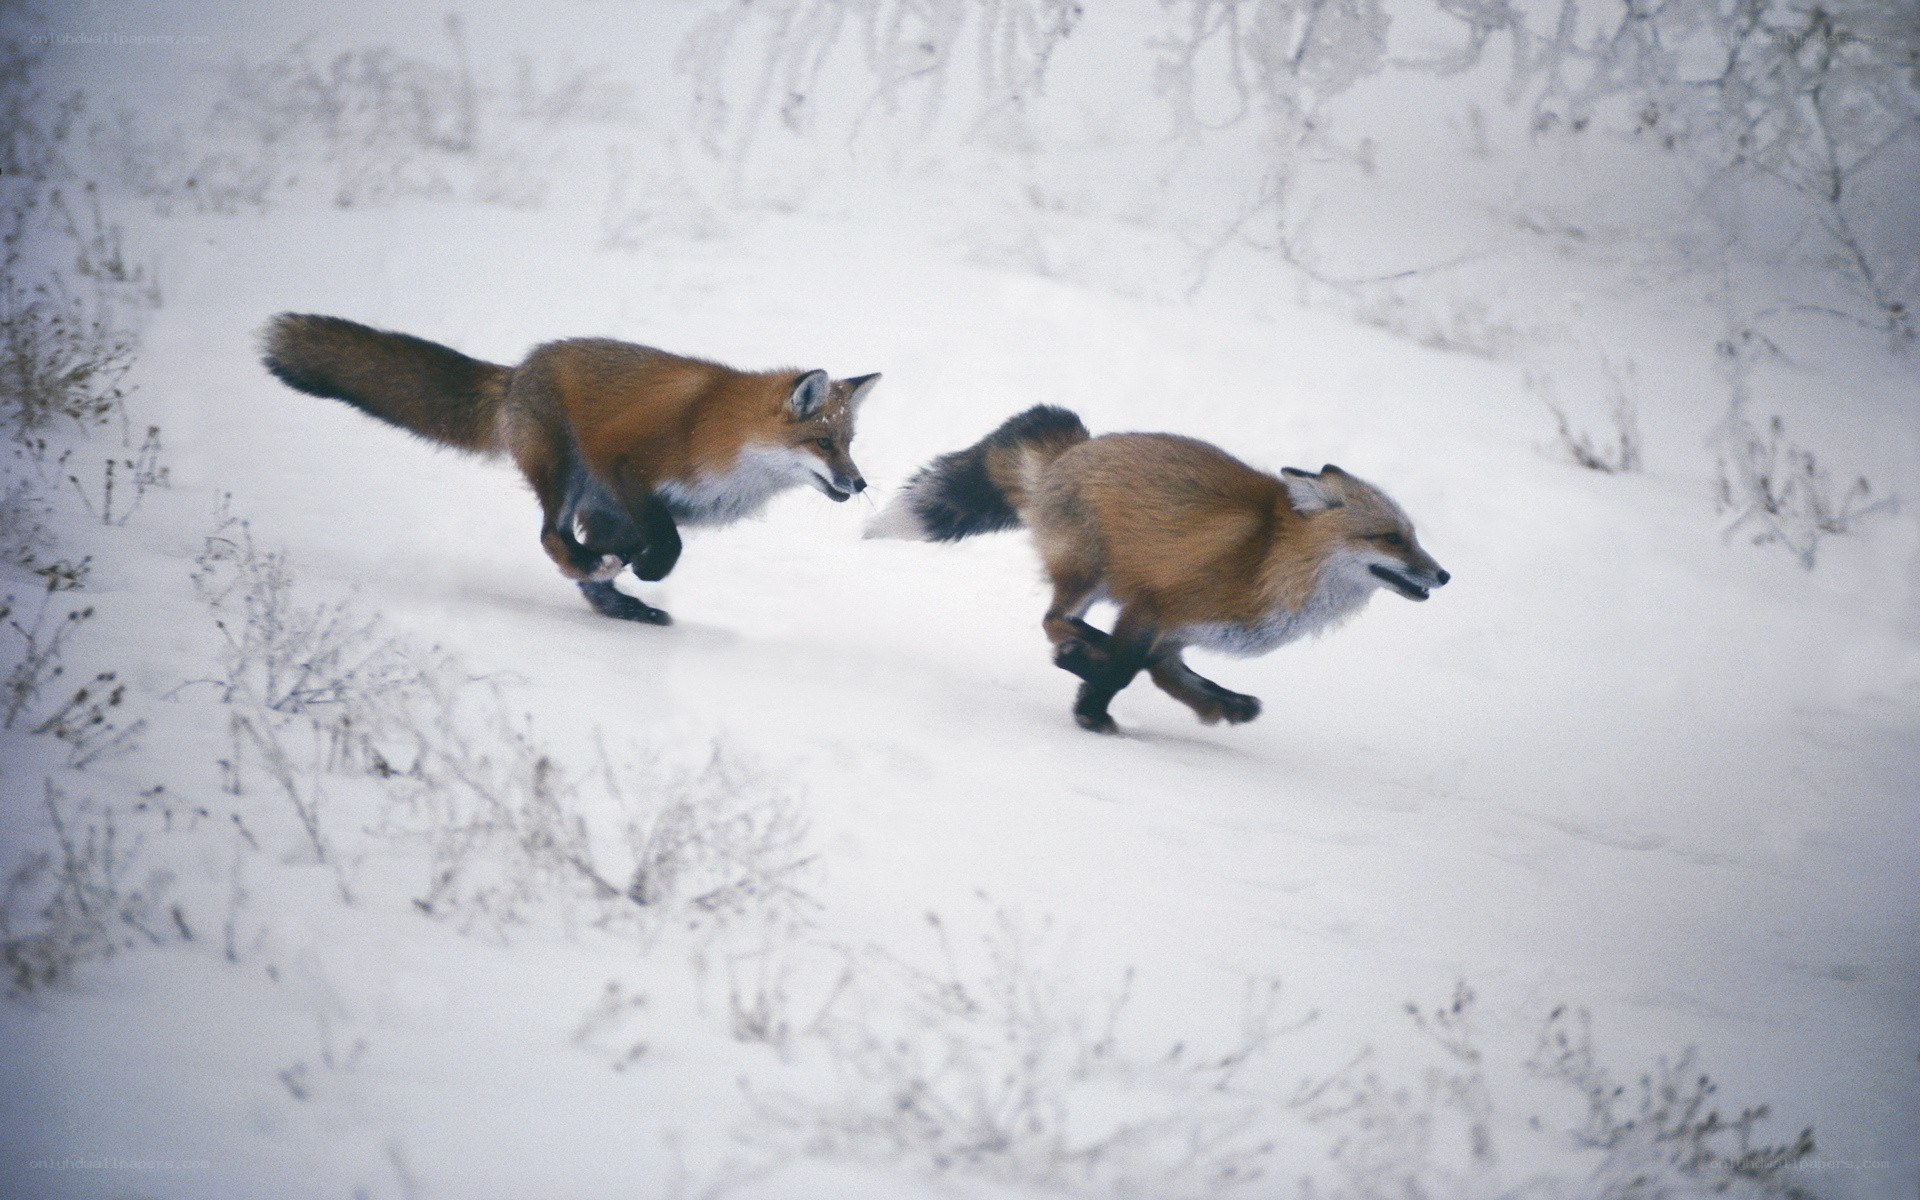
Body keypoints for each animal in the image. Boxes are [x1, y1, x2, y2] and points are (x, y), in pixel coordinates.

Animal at [260, 313, 880, 625]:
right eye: (823, 443)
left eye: (849, 444)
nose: (860, 483)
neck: (732, 446)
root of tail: (519, 370)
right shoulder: (627, 465)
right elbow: (667, 544)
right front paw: (646, 569)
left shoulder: (649, 509)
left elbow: (649, 546)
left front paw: (633, 575)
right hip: (567, 472)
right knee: (551, 539)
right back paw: (602, 574)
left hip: (588, 498)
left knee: (580, 564)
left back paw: (624, 604)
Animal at [866, 406, 1450, 733]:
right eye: (1391, 538)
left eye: (1414, 536)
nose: (1444, 576)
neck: (1271, 560)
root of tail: (1077, 446)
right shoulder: (1153, 605)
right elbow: (1126, 669)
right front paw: (1092, 713)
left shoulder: (1179, 632)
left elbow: (1167, 673)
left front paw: (1221, 705)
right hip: (1089, 573)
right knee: (1055, 621)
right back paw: (1082, 650)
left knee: (1087, 635)